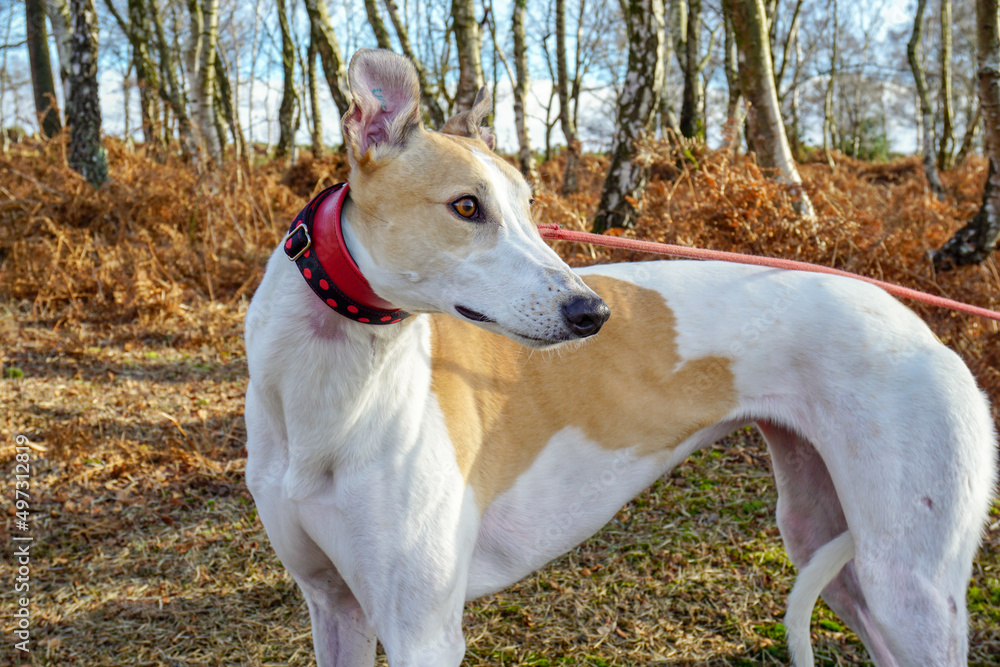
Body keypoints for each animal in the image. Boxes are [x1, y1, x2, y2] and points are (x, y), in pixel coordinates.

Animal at [244, 49, 1000, 664]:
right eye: (465, 206)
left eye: (529, 206)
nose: (593, 313)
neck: (330, 390)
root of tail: (917, 324)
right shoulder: (334, 606)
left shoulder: (422, 633)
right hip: (825, 539)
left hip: (909, 582)